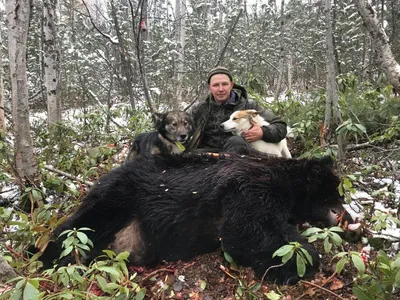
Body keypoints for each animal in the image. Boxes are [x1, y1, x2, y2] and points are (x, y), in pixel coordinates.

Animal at [39, 154, 352, 284]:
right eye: (334, 193)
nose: (345, 215)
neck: (289, 181)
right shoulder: (252, 187)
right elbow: (245, 230)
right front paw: (298, 261)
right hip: (118, 196)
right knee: (79, 226)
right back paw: (47, 259)